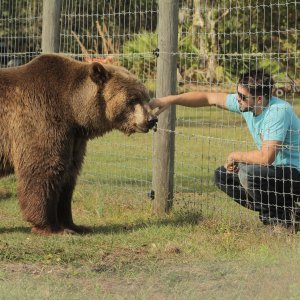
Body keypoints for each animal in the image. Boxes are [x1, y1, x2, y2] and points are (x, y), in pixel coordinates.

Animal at [0, 55, 156, 236]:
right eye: (132, 99)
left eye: (146, 97)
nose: (152, 119)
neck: (73, 111)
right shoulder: (42, 119)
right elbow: (44, 169)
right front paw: (51, 227)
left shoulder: (74, 139)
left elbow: (68, 175)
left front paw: (74, 225)